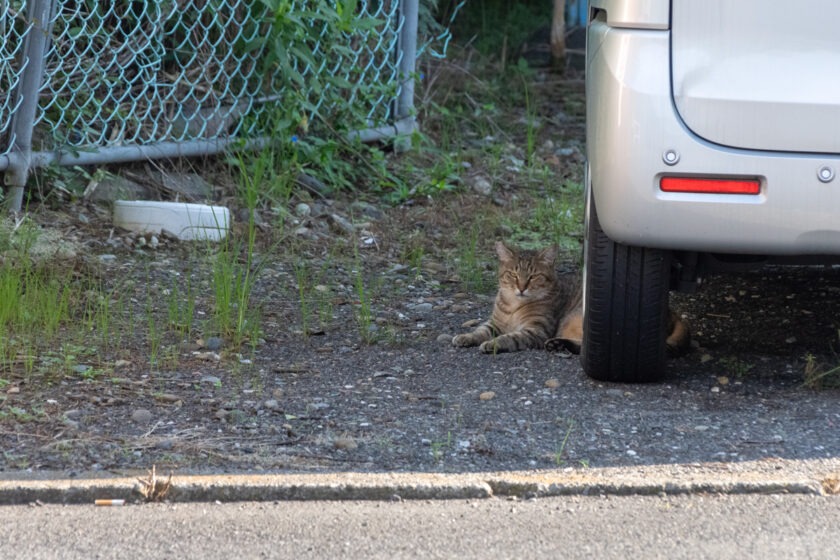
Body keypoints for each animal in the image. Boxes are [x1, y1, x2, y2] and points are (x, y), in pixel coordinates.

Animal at [452, 241, 688, 354]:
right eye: (513, 274)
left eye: (533, 276)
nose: (521, 288)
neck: (514, 305)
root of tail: (673, 312)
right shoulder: (494, 323)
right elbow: (479, 330)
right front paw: (466, 337)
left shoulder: (536, 330)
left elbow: (509, 338)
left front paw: (493, 344)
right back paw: (558, 344)